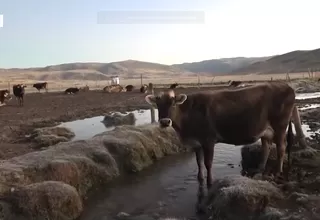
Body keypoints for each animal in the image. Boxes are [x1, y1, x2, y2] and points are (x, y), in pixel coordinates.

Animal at [146, 81, 308, 190]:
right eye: (158, 105)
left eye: (173, 104)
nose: (165, 121)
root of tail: (287, 86)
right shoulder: (196, 143)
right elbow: (199, 162)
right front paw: (200, 178)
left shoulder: (208, 140)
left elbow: (208, 163)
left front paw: (210, 182)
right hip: (265, 130)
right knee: (266, 147)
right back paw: (260, 168)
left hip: (280, 126)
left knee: (281, 148)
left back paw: (278, 171)